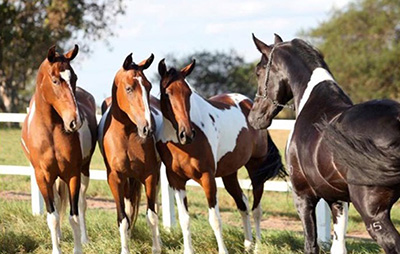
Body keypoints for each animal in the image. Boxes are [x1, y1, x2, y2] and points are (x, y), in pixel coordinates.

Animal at [20, 44, 97, 253]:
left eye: (75, 77)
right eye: (55, 80)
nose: (75, 121)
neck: (50, 131)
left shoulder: (72, 174)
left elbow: (74, 215)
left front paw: (78, 248)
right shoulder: (43, 177)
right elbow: (52, 216)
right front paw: (57, 248)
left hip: (84, 171)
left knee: (82, 203)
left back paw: (85, 239)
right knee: (56, 201)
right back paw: (61, 237)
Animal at [97, 52, 162, 253]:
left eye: (148, 86)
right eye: (128, 88)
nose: (148, 128)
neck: (126, 135)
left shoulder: (150, 175)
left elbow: (152, 216)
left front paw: (156, 248)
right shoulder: (115, 178)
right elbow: (123, 218)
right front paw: (125, 248)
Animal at [152, 58, 284, 253]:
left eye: (188, 93)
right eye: (167, 93)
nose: (187, 134)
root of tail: (249, 104)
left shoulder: (208, 178)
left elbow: (215, 219)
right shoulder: (176, 181)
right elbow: (185, 219)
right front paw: (188, 250)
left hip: (255, 168)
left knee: (256, 209)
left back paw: (258, 246)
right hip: (229, 174)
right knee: (243, 203)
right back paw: (247, 243)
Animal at [248, 34, 400, 254]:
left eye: (258, 72)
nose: (254, 118)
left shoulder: (303, 197)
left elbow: (311, 244)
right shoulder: (337, 200)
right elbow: (338, 246)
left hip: (373, 215)